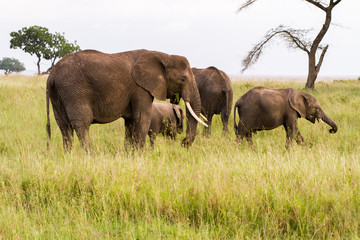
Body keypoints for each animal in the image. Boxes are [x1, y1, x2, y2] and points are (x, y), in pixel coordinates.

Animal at [46, 49, 207, 151]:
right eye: (183, 79)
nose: (183, 143)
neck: (163, 56)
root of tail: (52, 74)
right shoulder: (141, 88)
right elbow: (142, 117)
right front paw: (140, 155)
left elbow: (130, 122)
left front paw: (129, 153)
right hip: (74, 91)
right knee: (81, 124)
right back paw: (90, 155)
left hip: (58, 94)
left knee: (64, 126)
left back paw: (69, 156)